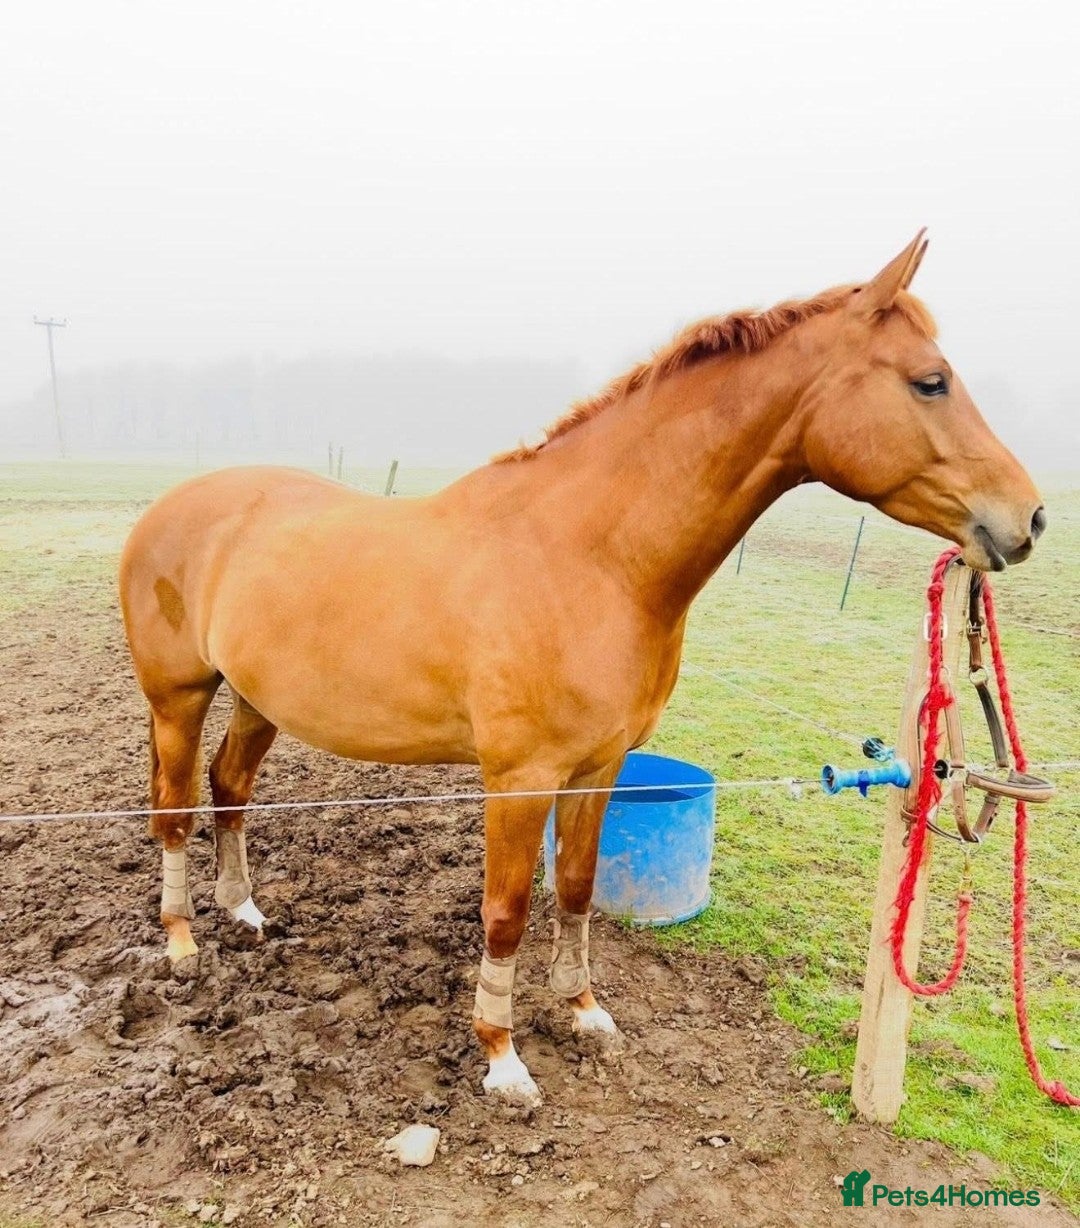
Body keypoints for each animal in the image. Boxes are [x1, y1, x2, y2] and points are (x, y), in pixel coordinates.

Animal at [119, 232, 1045, 1107]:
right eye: (930, 382)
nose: (1030, 518)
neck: (588, 557)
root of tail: (171, 507)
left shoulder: (599, 767)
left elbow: (573, 888)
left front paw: (583, 1011)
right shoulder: (519, 778)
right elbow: (504, 913)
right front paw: (502, 1059)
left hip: (258, 700)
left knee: (230, 787)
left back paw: (243, 909)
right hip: (178, 697)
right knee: (173, 810)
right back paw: (182, 941)